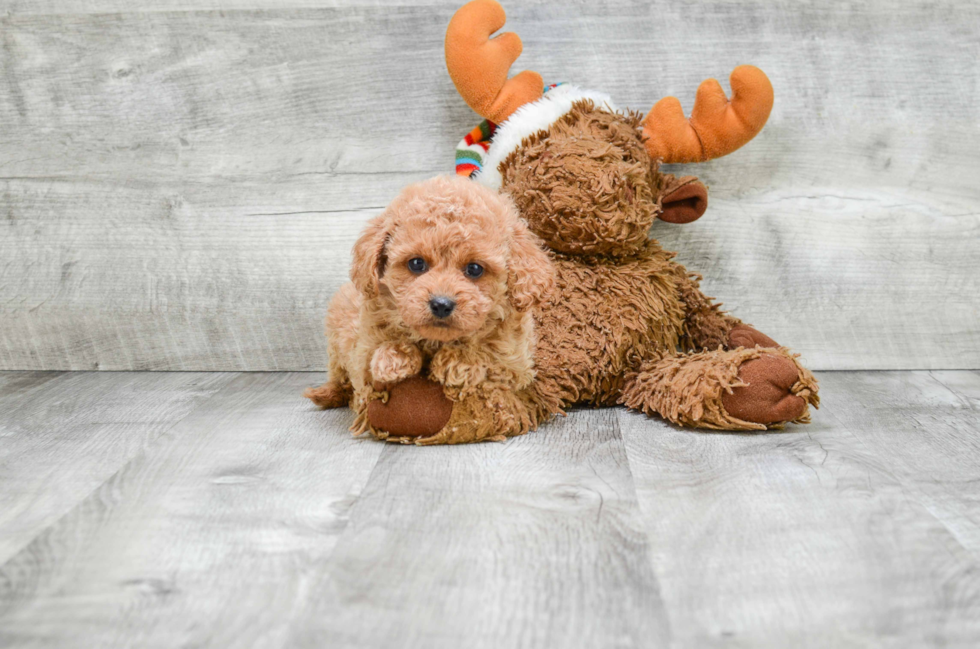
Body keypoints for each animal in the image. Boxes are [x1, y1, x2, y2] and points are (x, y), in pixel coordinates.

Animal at [302, 175, 556, 438]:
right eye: (416, 264)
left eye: (475, 269)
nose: (441, 304)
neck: (435, 341)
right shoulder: (361, 352)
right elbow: (372, 359)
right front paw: (393, 358)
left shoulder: (517, 365)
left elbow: (490, 357)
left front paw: (458, 361)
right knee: (338, 375)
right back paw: (324, 393)